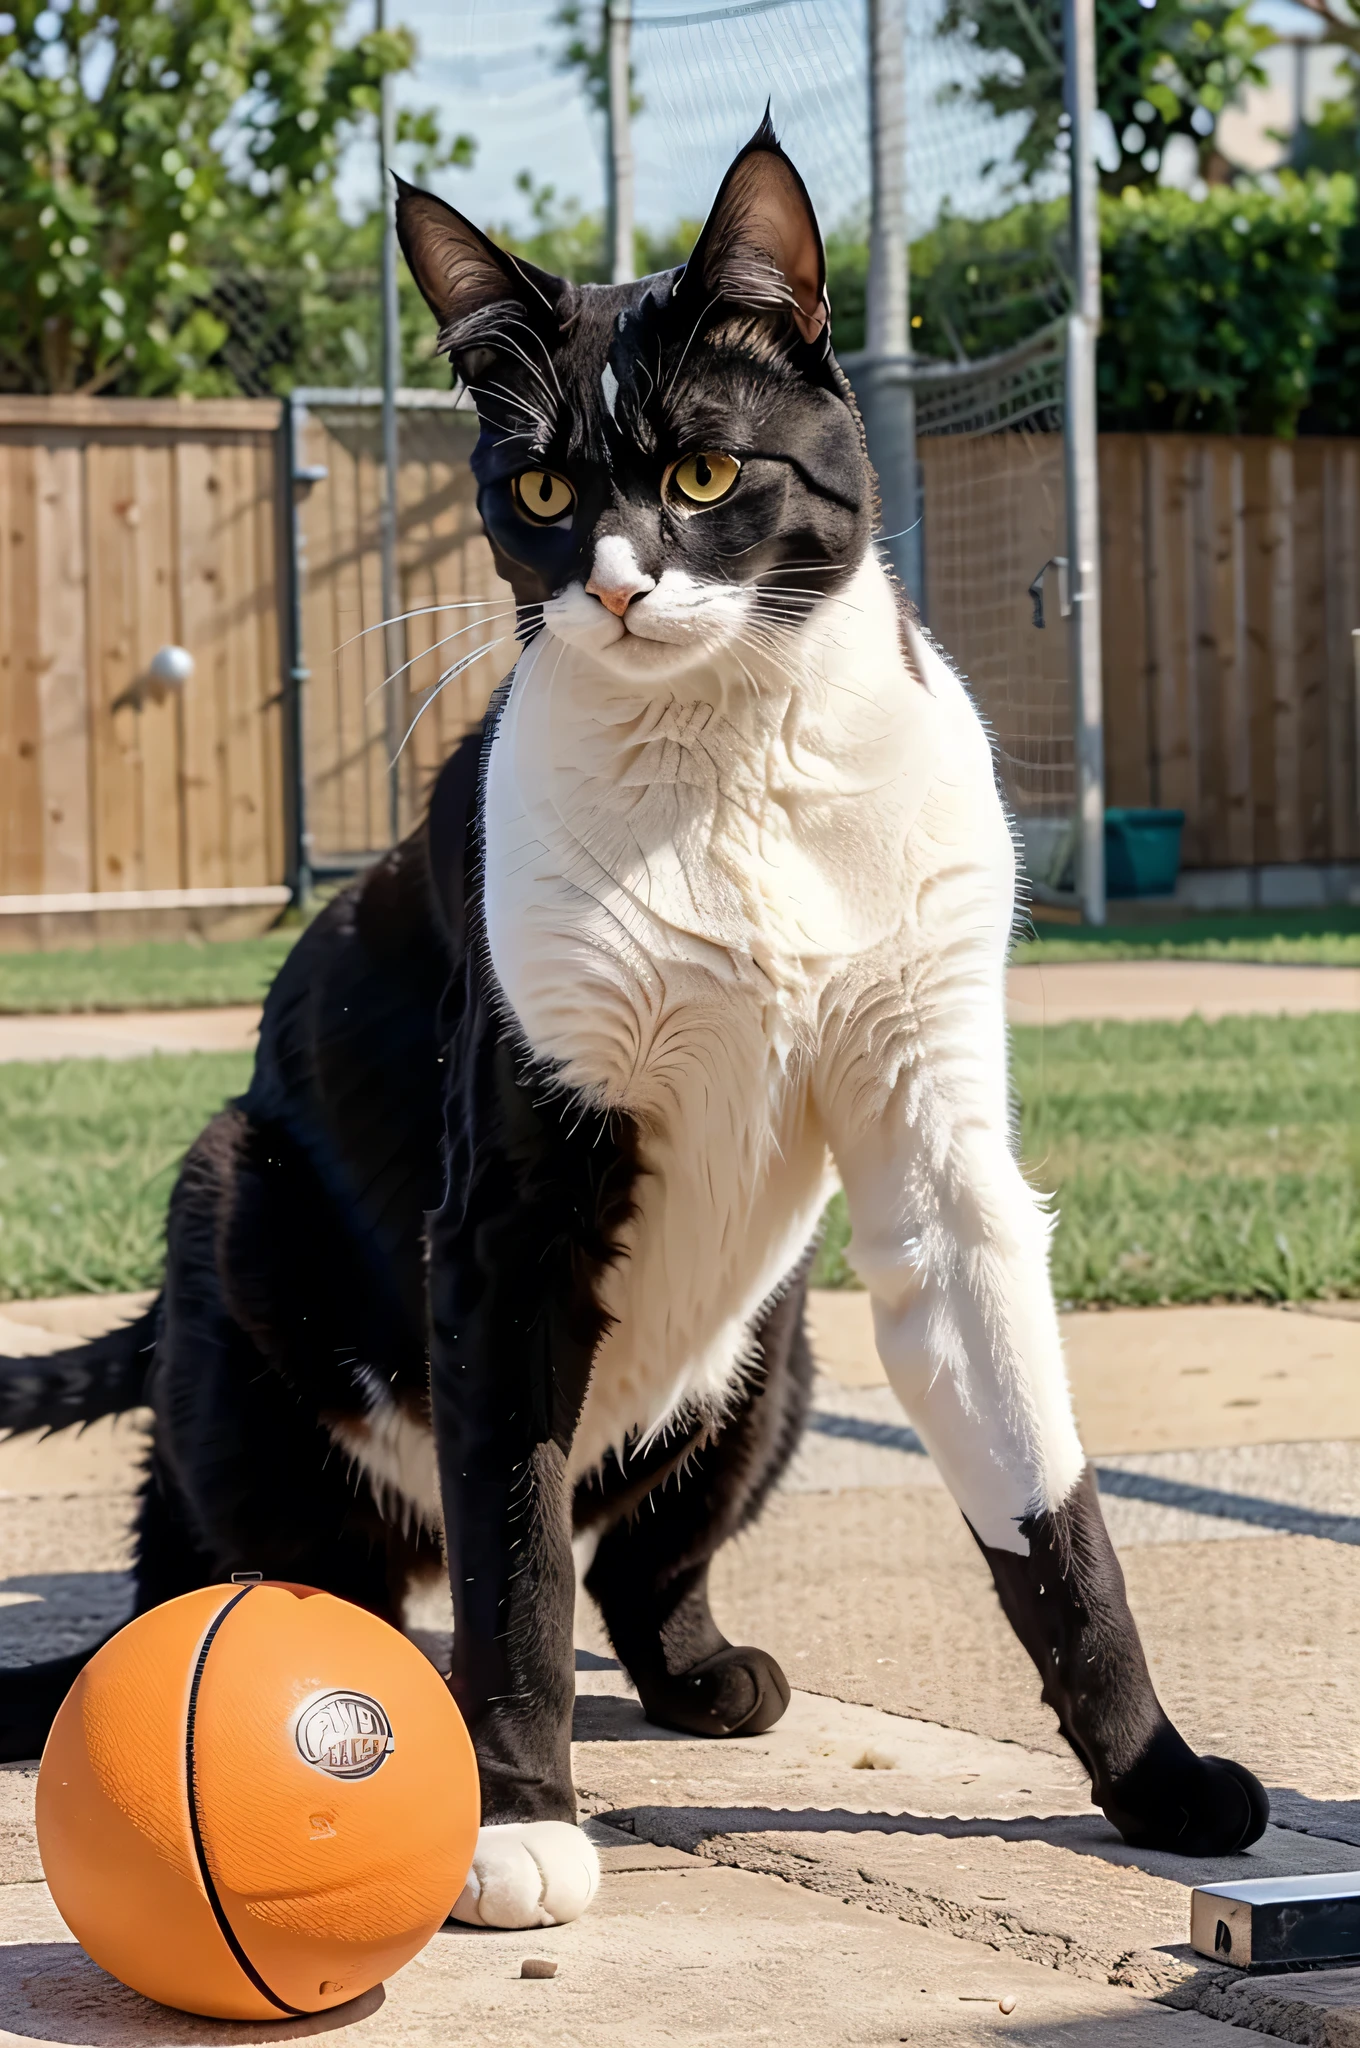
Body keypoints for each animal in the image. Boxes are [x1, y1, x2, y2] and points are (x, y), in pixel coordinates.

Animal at [5, 119, 1269, 1941]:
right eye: (539, 490)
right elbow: (516, 1556)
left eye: (704, 475)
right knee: (262, 1565)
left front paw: (1157, 1779)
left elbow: (1050, 1507)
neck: (735, 760)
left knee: (644, 1561)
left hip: (780, 1344)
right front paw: (518, 1817)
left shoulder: (945, 1172)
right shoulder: (511, 1224)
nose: (610, 584)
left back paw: (702, 1673)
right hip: (230, 1211)